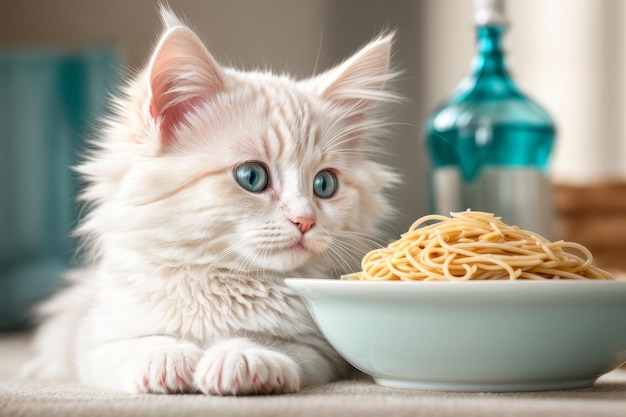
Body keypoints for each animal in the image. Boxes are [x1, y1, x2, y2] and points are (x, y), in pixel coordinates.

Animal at [24, 8, 398, 394]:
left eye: (324, 185)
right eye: (252, 177)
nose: (305, 220)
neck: (222, 280)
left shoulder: (319, 352)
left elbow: (271, 344)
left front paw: (241, 357)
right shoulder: (92, 340)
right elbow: (138, 344)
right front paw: (167, 358)